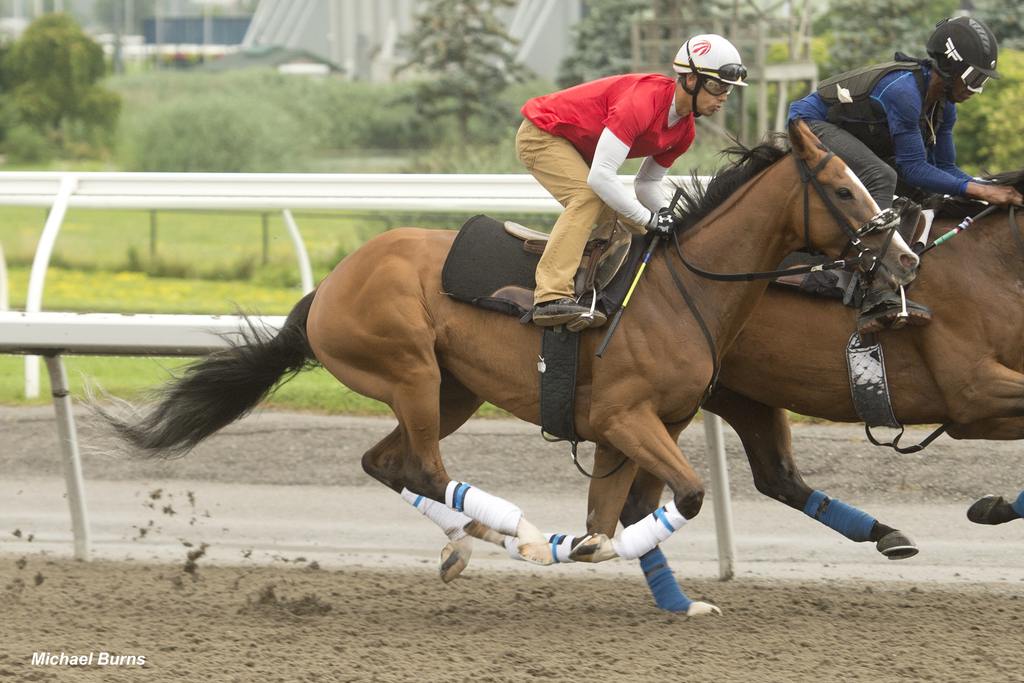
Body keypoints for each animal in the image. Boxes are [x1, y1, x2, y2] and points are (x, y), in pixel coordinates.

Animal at [99, 120, 917, 618]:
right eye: (843, 188)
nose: (905, 257)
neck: (680, 290)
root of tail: (325, 288)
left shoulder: (643, 428)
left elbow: (622, 511)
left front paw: (671, 596)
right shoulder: (625, 417)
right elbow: (679, 498)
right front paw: (585, 548)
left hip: (449, 389)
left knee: (386, 463)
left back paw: (476, 541)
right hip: (410, 371)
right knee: (424, 468)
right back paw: (518, 533)